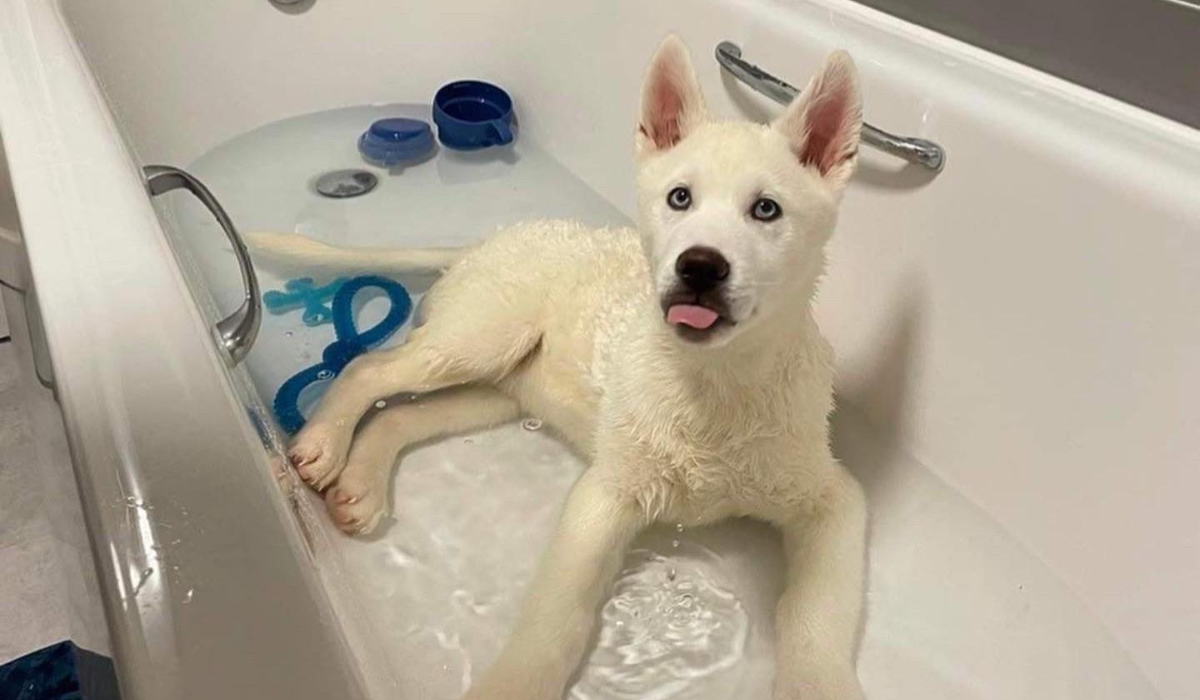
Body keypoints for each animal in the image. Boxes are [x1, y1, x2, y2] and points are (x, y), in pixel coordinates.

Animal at [255, 36, 873, 700]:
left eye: (767, 209)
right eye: (679, 197)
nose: (699, 267)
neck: (714, 384)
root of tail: (480, 245)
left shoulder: (833, 501)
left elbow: (814, 616)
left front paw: (816, 680)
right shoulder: (604, 495)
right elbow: (557, 618)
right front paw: (514, 682)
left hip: (497, 391)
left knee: (402, 417)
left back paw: (361, 484)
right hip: (479, 337)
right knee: (370, 367)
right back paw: (322, 443)